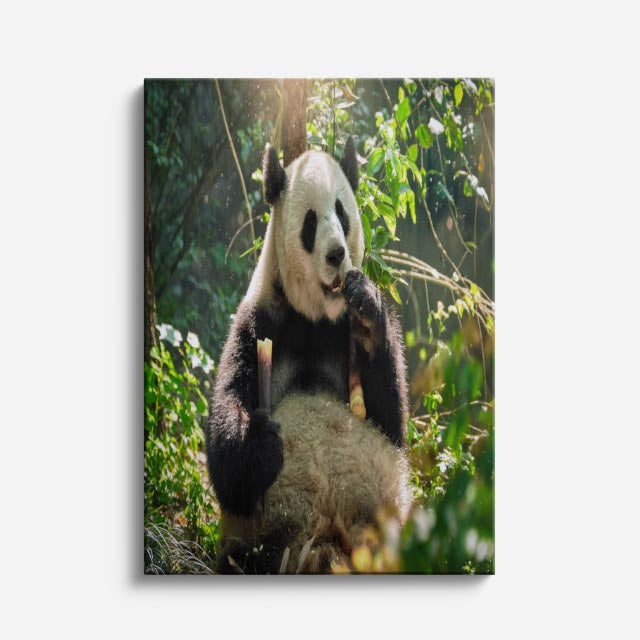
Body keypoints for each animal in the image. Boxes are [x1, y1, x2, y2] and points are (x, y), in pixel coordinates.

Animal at [206, 138, 412, 574]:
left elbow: (391, 419)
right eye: (311, 223)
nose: (336, 254)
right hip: (262, 540)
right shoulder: (260, 323)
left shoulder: (342, 332)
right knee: (248, 557)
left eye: (342, 212)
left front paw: (367, 311)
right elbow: (225, 450)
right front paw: (262, 444)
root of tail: (328, 542)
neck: (316, 316)